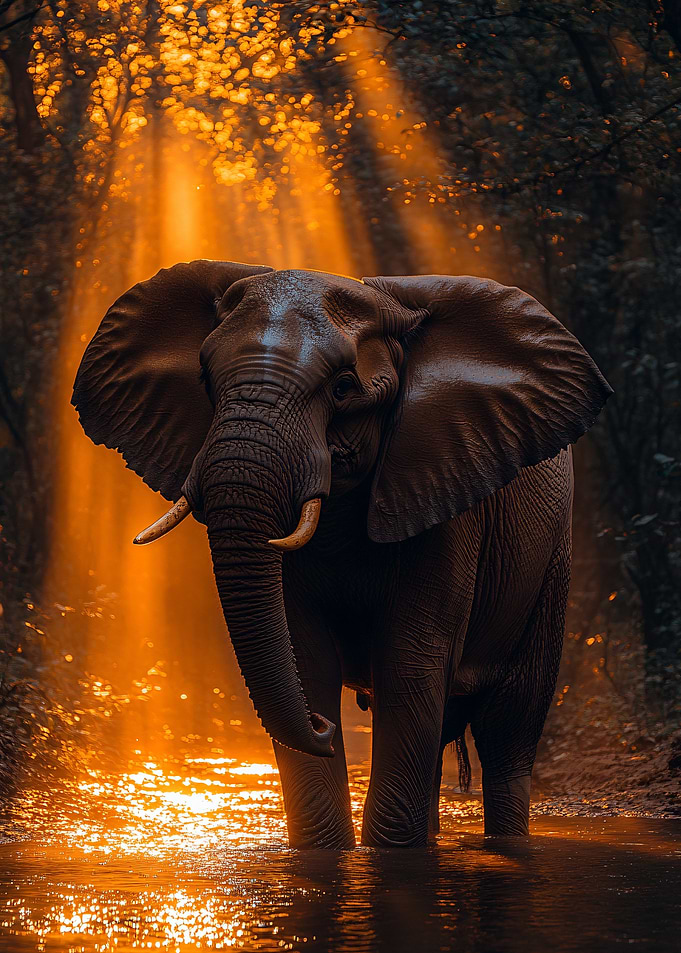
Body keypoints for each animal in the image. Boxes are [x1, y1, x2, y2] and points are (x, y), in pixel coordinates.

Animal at [72, 260, 612, 848]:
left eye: (343, 388)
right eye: (206, 382)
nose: (324, 727)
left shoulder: (444, 490)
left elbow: (409, 663)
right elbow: (307, 656)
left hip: (549, 561)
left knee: (507, 730)